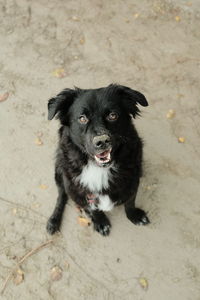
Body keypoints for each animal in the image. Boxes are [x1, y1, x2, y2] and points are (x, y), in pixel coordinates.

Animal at [47, 83, 149, 236]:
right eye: (82, 118)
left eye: (113, 115)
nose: (102, 141)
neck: (98, 168)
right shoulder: (78, 192)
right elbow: (92, 209)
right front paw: (100, 222)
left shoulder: (133, 181)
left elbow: (130, 201)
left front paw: (134, 215)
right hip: (59, 172)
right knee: (61, 196)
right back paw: (53, 221)